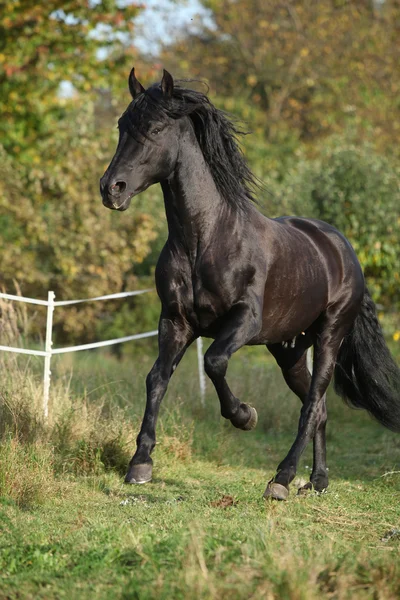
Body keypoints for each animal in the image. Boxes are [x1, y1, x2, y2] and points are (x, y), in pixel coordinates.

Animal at [101, 69, 400, 502]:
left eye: (155, 128)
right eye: (122, 126)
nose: (111, 188)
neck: (205, 240)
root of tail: (343, 249)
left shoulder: (244, 321)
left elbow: (214, 363)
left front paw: (245, 416)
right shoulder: (175, 322)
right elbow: (156, 379)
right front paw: (140, 464)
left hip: (330, 336)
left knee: (312, 405)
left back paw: (282, 479)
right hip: (289, 351)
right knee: (320, 408)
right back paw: (317, 481)